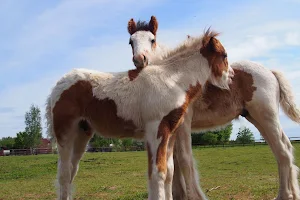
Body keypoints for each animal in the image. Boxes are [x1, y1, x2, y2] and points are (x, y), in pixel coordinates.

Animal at [45, 28, 231, 199]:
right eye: (224, 55)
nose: (229, 79)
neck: (171, 80)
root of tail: (58, 85)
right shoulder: (156, 129)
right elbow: (158, 173)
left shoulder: (170, 132)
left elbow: (169, 173)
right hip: (65, 133)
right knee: (64, 174)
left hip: (82, 133)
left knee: (71, 171)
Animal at [127, 15, 300, 200]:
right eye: (131, 41)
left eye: (152, 40)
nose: (140, 60)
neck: (173, 79)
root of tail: (270, 71)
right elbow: (173, 161)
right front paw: (178, 194)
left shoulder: (183, 123)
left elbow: (184, 159)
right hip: (257, 118)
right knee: (284, 149)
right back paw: (292, 193)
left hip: (266, 116)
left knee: (283, 152)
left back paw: (284, 195)